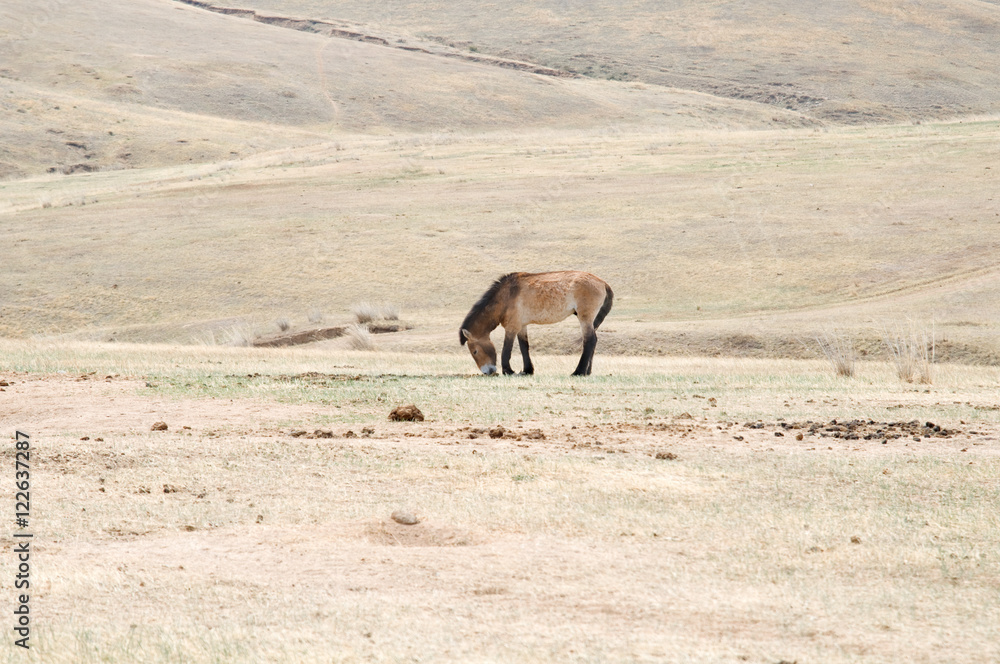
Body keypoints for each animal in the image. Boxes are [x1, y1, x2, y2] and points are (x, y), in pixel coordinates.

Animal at [460, 271, 614, 376]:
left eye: (474, 351)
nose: (487, 371)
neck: (506, 296)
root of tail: (602, 282)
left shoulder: (512, 327)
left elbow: (506, 349)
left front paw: (508, 370)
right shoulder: (522, 326)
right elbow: (524, 347)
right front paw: (527, 370)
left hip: (585, 318)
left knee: (589, 340)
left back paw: (578, 371)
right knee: (593, 340)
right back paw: (587, 372)